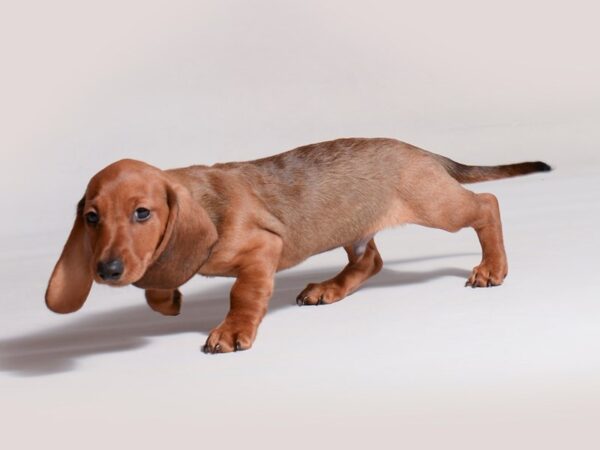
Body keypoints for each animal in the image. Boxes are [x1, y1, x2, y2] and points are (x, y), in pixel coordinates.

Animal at [47, 137, 552, 352]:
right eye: (91, 218)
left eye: (142, 213)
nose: (107, 271)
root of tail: (420, 150)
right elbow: (159, 285)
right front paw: (166, 299)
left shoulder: (261, 249)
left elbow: (243, 294)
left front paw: (231, 332)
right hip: (354, 230)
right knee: (370, 261)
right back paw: (328, 288)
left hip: (437, 206)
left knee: (486, 205)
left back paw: (492, 268)